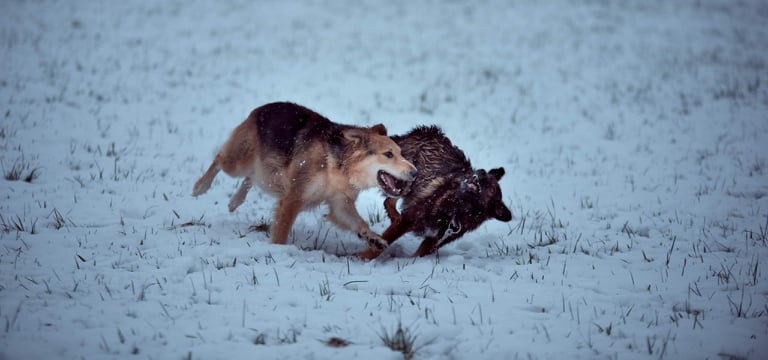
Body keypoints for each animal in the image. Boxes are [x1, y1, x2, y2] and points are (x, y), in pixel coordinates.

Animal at [195, 101, 416, 250]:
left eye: (401, 153)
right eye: (389, 154)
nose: (415, 172)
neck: (336, 165)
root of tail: (259, 110)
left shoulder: (340, 203)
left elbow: (359, 222)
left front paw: (373, 238)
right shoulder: (293, 197)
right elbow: (281, 231)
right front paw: (277, 251)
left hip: (266, 174)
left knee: (251, 177)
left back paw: (235, 201)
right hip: (239, 162)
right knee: (220, 159)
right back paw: (200, 187)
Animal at [356, 124, 512, 258]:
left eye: (489, 185)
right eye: (483, 173)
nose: (480, 172)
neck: (456, 209)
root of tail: (424, 131)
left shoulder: (434, 240)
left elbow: (418, 255)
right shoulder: (409, 219)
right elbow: (385, 241)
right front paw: (361, 258)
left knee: (388, 201)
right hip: (405, 180)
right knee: (389, 200)